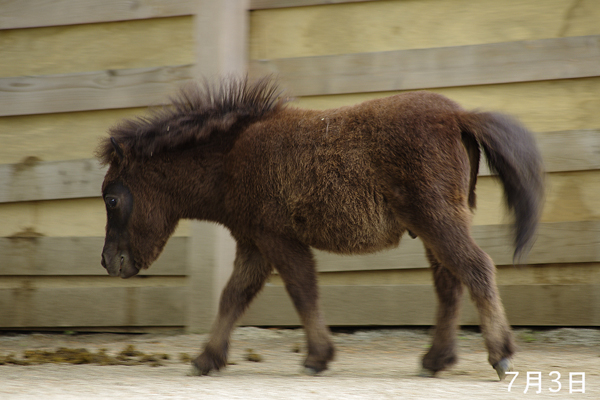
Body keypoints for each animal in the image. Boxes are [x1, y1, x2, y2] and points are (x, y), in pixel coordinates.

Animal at [97, 76, 544, 382]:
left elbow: (300, 289)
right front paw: (207, 358)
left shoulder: (276, 238)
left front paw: (316, 358)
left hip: (438, 221)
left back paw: (500, 355)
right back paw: (437, 360)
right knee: (450, 284)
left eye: (112, 199)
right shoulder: (255, 242)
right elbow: (234, 297)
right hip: (434, 226)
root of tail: (458, 115)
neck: (232, 157)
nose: (107, 262)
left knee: (476, 269)